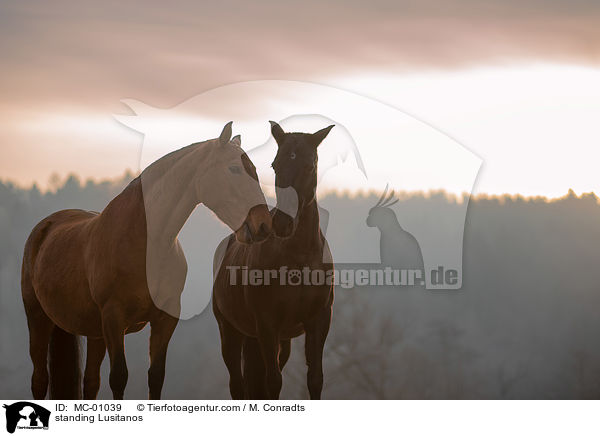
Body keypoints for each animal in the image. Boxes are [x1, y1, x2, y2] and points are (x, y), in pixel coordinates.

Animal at [22, 122, 272, 398]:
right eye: (234, 169)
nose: (263, 225)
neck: (145, 242)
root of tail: (46, 226)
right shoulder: (114, 319)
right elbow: (119, 377)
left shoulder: (165, 319)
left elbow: (156, 376)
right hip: (38, 319)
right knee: (39, 380)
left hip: (94, 333)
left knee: (90, 382)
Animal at [211, 121, 336, 400]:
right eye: (275, 165)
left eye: (309, 166)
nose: (281, 223)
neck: (299, 258)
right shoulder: (267, 325)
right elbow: (273, 383)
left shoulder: (318, 321)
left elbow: (315, 379)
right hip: (231, 332)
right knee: (238, 385)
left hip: (273, 340)